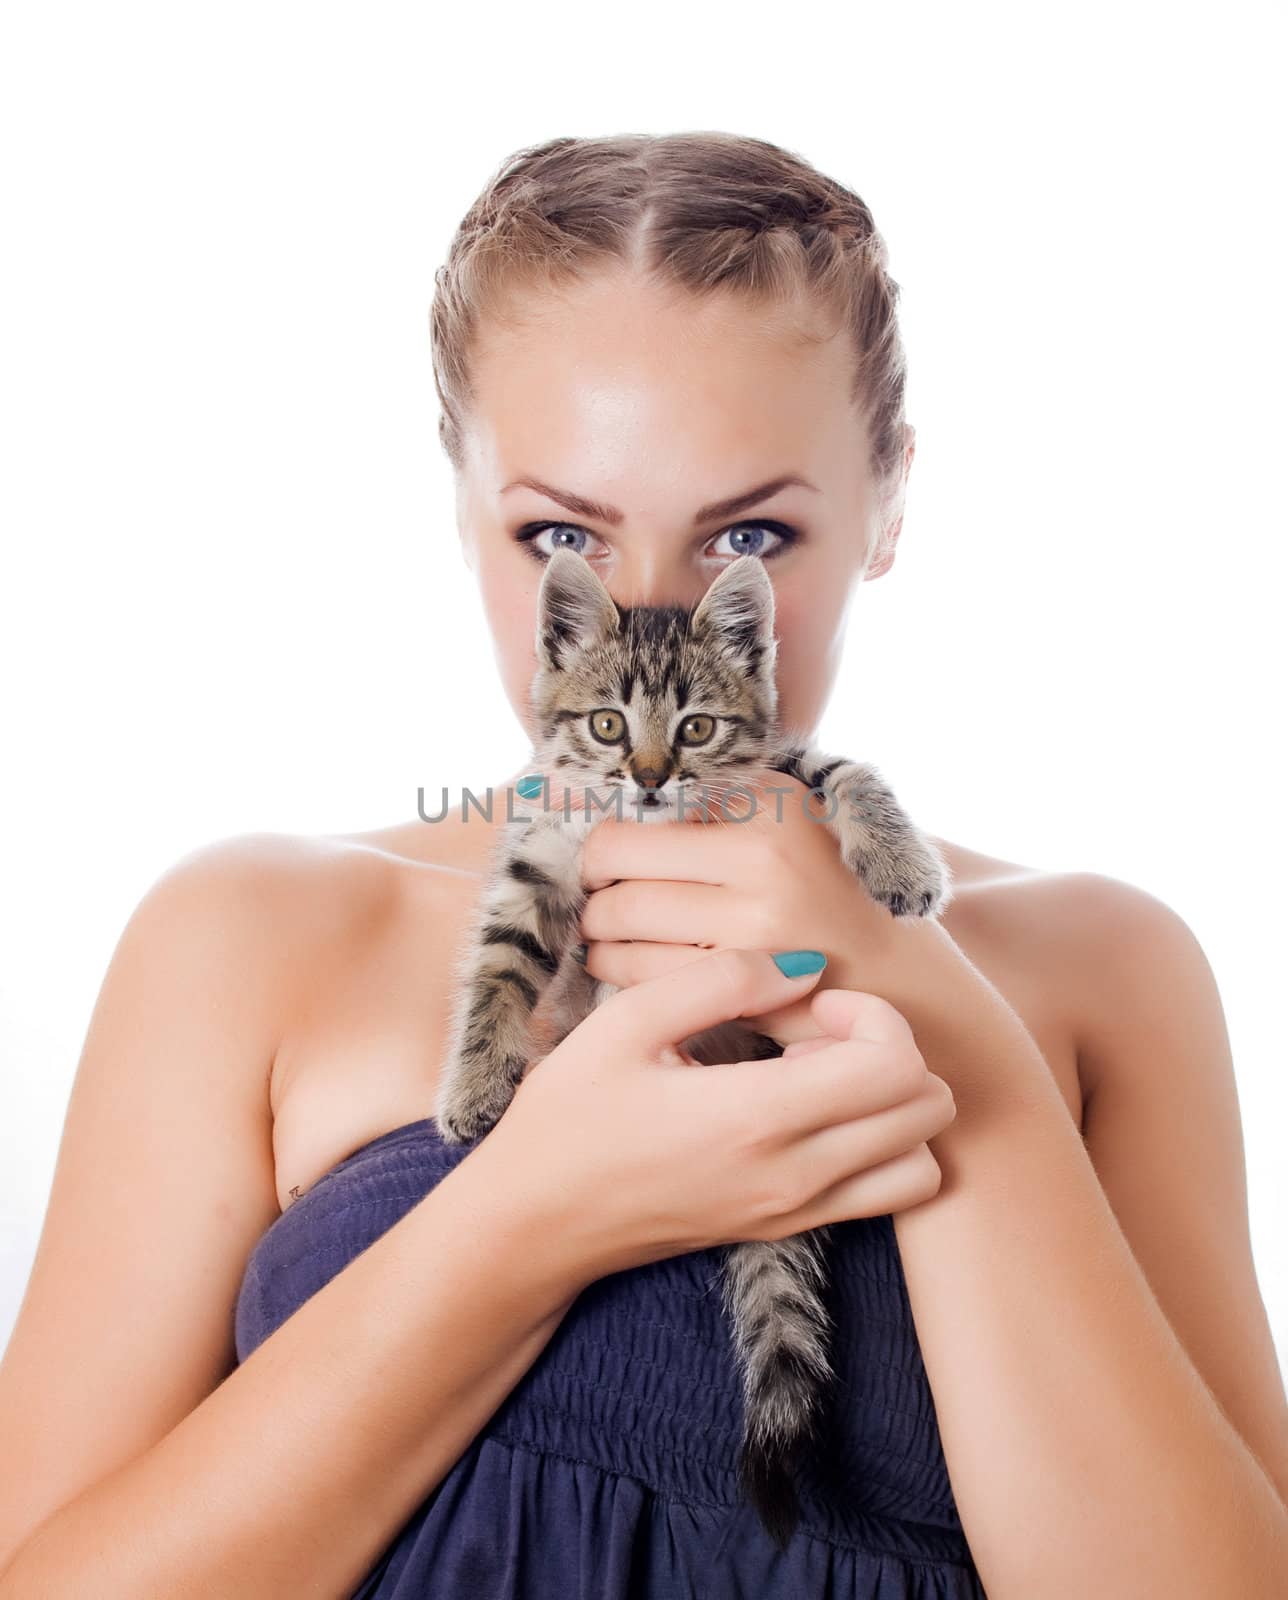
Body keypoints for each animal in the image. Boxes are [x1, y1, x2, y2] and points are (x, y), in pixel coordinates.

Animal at [438, 550, 947, 1548]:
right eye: (607, 723)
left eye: (696, 727)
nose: (647, 777)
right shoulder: (538, 858)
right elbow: (497, 966)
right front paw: (476, 1085)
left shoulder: (783, 760)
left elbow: (848, 769)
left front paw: (901, 864)